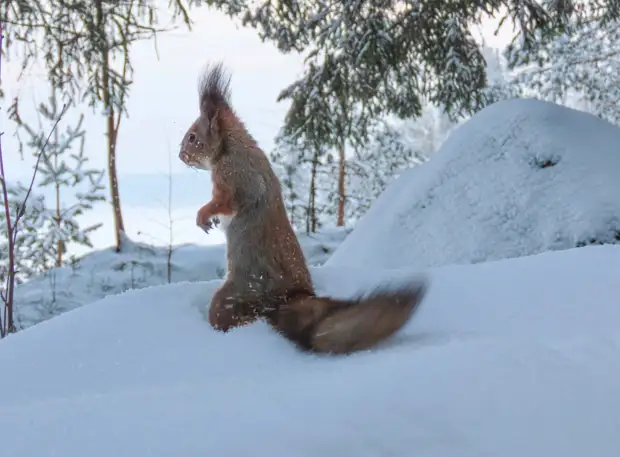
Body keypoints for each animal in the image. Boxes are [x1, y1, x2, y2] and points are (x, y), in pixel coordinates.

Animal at [174, 62, 426, 352]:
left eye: (193, 137)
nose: (180, 155)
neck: (231, 147)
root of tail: (290, 298)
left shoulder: (233, 179)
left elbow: (225, 202)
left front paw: (204, 216)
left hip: (231, 300)